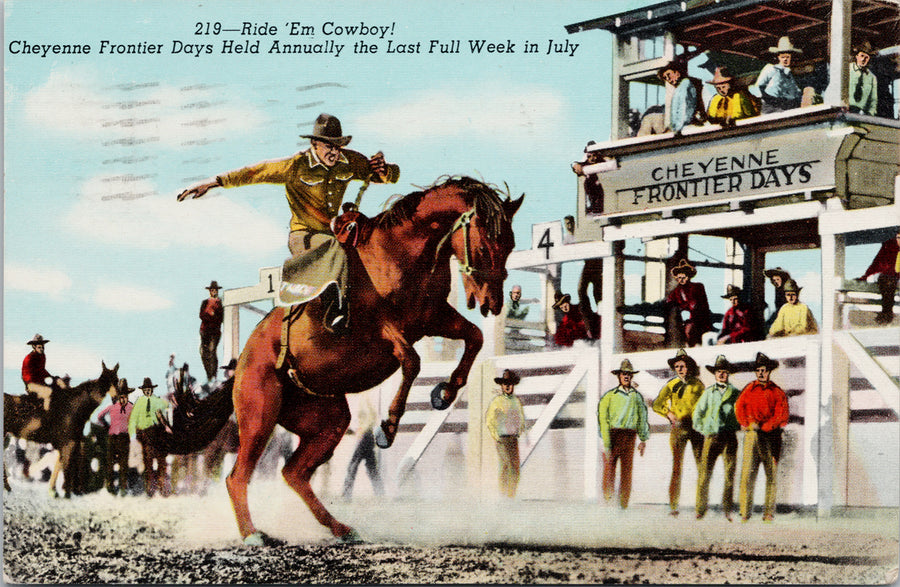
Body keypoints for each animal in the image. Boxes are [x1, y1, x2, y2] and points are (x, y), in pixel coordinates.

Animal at [3, 362, 119, 496]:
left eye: (116, 380)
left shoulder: (65, 443)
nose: (116, 397)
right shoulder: (68, 443)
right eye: (105, 379)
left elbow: (58, 465)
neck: (74, 406)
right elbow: (65, 467)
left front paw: (53, 491)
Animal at [154, 176, 520, 548]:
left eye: (510, 244)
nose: (492, 301)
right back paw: (252, 534)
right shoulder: (382, 329)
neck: (400, 253)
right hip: (259, 417)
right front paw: (389, 427)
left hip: (328, 420)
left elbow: (474, 337)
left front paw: (444, 393)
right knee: (238, 476)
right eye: (485, 245)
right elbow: (413, 361)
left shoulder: (434, 318)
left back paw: (341, 528)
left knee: (294, 473)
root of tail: (241, 366)